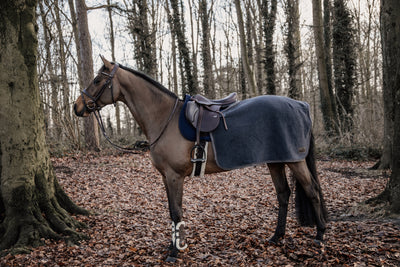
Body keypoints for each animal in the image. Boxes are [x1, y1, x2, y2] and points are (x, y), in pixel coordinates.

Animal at [73, 56, 326, 262]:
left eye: (97, 80)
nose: (76, 107)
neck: (164, 118)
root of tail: (301, 105)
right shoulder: (166, 177)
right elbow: (171, 210)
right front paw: (173, 246)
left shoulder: (175, 176)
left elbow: (177, 211)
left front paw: (175, 252)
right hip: (276, 161)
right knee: (283, 194)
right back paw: (276, 236)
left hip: (295, 161)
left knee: (312, 190)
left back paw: (320, 235)